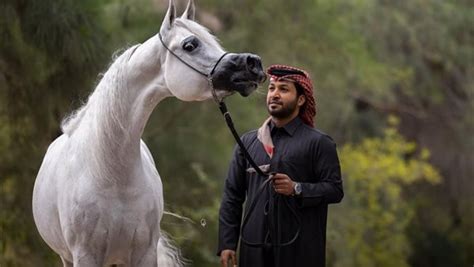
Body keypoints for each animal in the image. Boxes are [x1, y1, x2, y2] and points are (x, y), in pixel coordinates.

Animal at [32, 0, 266, 266]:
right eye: (190, 45)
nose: (253, 63)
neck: (109, 174)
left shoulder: (144, 252)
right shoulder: (85, 255)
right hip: (68, 257)